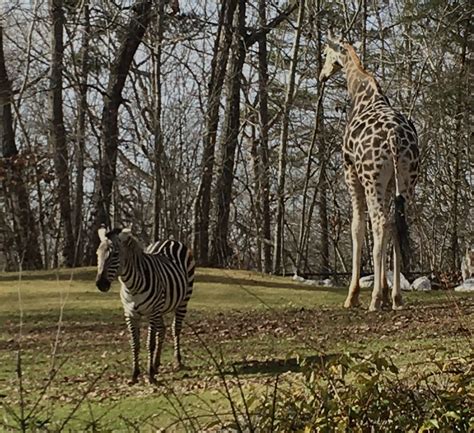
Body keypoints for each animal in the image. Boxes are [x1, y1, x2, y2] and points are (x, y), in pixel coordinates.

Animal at [95, 226, 195, 384]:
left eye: (115, 254)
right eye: (97, 254)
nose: (101, 284)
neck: (132, 286)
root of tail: (171, 240)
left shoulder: (152, 312)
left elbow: (150, 343)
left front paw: (150, 375)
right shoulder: (130, 314)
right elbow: (135, 344)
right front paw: (135, 375)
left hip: (183, 301)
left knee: (175, 329)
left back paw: (177, 361)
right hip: (161, 307)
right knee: (162, 330)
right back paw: (156, 364)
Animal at [318, 38, 418, 310]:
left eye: (325, 53)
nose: (322, 75)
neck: (362, 94)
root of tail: (394, 138)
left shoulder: (350, 171)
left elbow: (357, 227)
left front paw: (353, 296)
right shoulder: (389, 184)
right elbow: (385, 230)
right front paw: (385, 290)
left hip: (371, 179)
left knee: (380, 222)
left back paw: (374, 300)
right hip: (405, 181)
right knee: (394, 224)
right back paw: (396, 298)